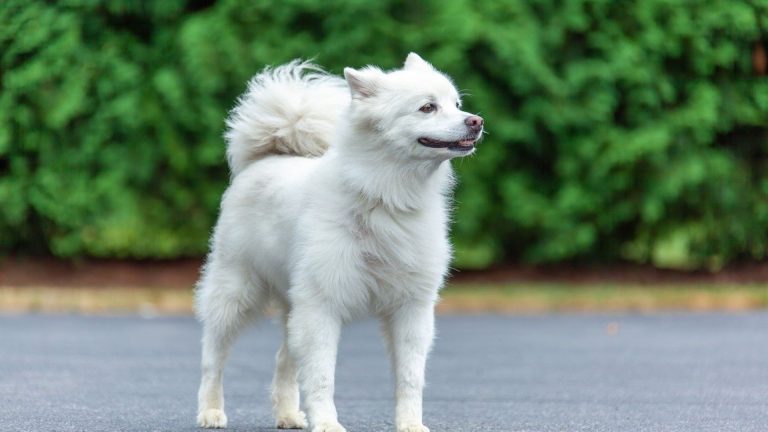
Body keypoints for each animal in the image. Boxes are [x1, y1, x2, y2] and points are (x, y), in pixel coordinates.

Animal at [196, 52, 486, 430]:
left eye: (456, 104)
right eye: (427, 107)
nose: (477, 121)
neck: (384, 197)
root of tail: (267, 158)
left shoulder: (411, 307)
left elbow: (410, 377)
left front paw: (410, 424)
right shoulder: (322, 306)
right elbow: (322, 376)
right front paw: (327, 423)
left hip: (293, 305)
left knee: (283, 360)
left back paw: (287, 415)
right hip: (235, 292)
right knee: (213, 357)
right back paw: (210, 411)